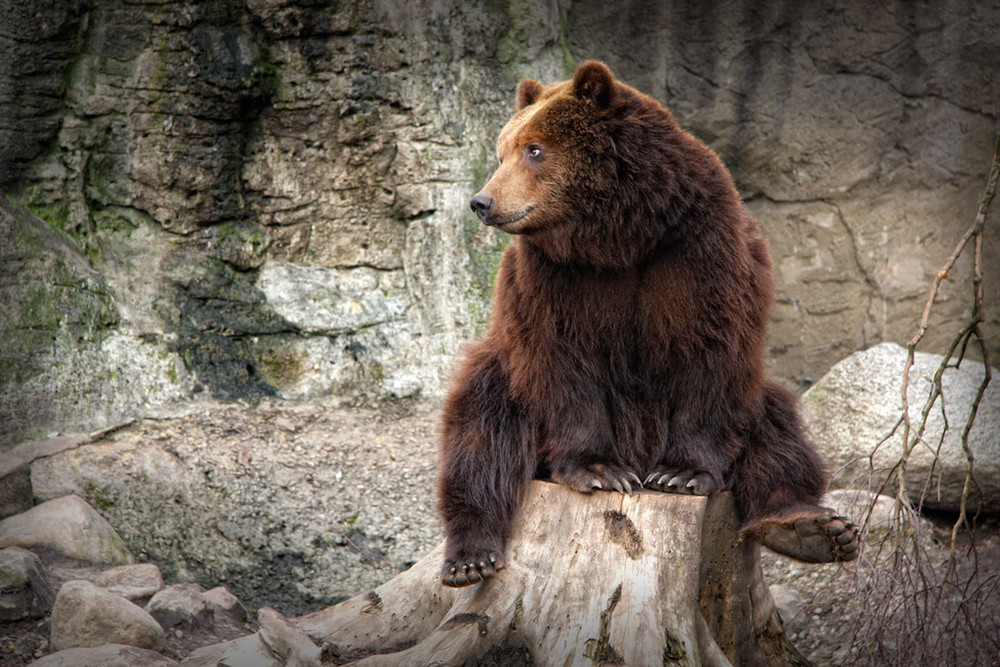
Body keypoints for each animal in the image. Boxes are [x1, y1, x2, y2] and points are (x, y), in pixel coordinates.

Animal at [438, 60, 860, 588]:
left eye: (533, 149)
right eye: (503, 151)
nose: (482, 201)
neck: (620, 236)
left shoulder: (699, 251)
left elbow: (710, 355)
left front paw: (680, 474)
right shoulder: (552, 279)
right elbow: (563, 363)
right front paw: (599, 469)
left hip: (753, 394)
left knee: (776, 428)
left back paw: (808, 527)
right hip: (507, 374)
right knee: (484, 425)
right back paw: (471, 555)